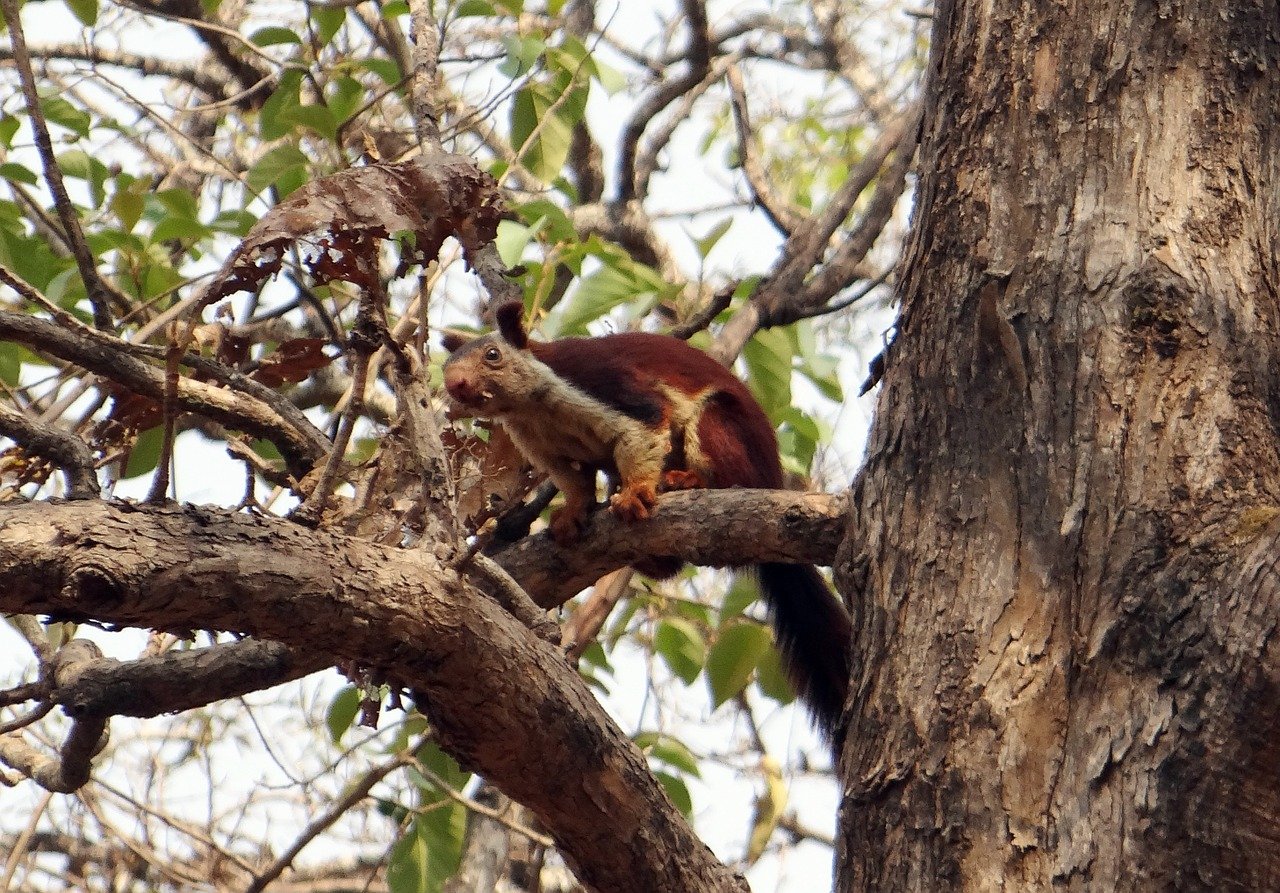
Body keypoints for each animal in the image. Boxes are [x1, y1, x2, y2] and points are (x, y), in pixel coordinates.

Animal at [440, 303, 849, 742]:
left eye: (492, 355)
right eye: (447, 363)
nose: (453, 383)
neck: (532, 408)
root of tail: (772, 478)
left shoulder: (607, 388)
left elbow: (642, 430)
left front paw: (636, 493)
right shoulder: (544, 448)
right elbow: (573, 481)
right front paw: (571, 514)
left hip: (721, 430)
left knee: (724, 470)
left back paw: (685, 481)